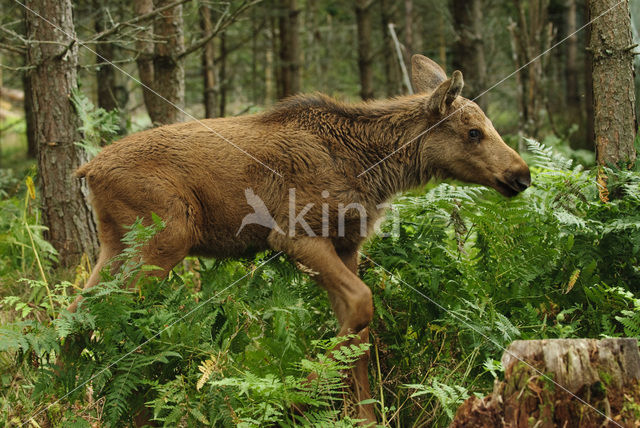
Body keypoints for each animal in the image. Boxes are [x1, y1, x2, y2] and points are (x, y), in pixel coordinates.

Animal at [70, 56, 528, 424]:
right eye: (474, 132)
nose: (521, 175)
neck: (371, 170)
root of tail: (88, 170)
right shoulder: (293, 234)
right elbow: (361, 307)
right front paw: (293, 396)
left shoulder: (348, 245)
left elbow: (359, 333)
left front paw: (360, 415)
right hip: (165, 239)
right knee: (114, 320)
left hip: (117, 244)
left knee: (76, 313)